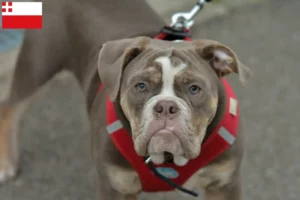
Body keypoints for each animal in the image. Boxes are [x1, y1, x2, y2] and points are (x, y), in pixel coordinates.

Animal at [0, 0, 252, 198]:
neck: (168, 160)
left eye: (194, 88)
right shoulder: (115, 187)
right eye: (141, 86)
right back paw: (6, 164)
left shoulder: (224, 184)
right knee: (12, 108)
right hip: (39, 62)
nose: (166, 106)